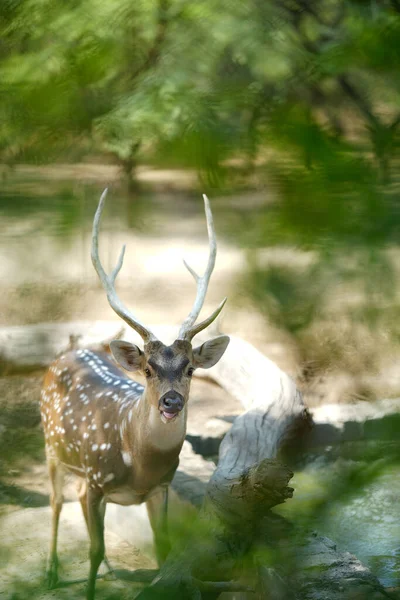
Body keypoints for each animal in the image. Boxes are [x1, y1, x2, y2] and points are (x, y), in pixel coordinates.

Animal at [41, 190, 230, 596]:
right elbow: (93, 548)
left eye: (190, 368)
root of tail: (70, 350)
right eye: (148, 369)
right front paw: (89, 591)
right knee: (56, 502)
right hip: (51, 446)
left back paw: (109, 570)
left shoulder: (161, 487)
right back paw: (51, 570)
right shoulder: (97, 480)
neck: (138, 462)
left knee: (72, 501)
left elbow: (162, 548)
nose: (171, 401)